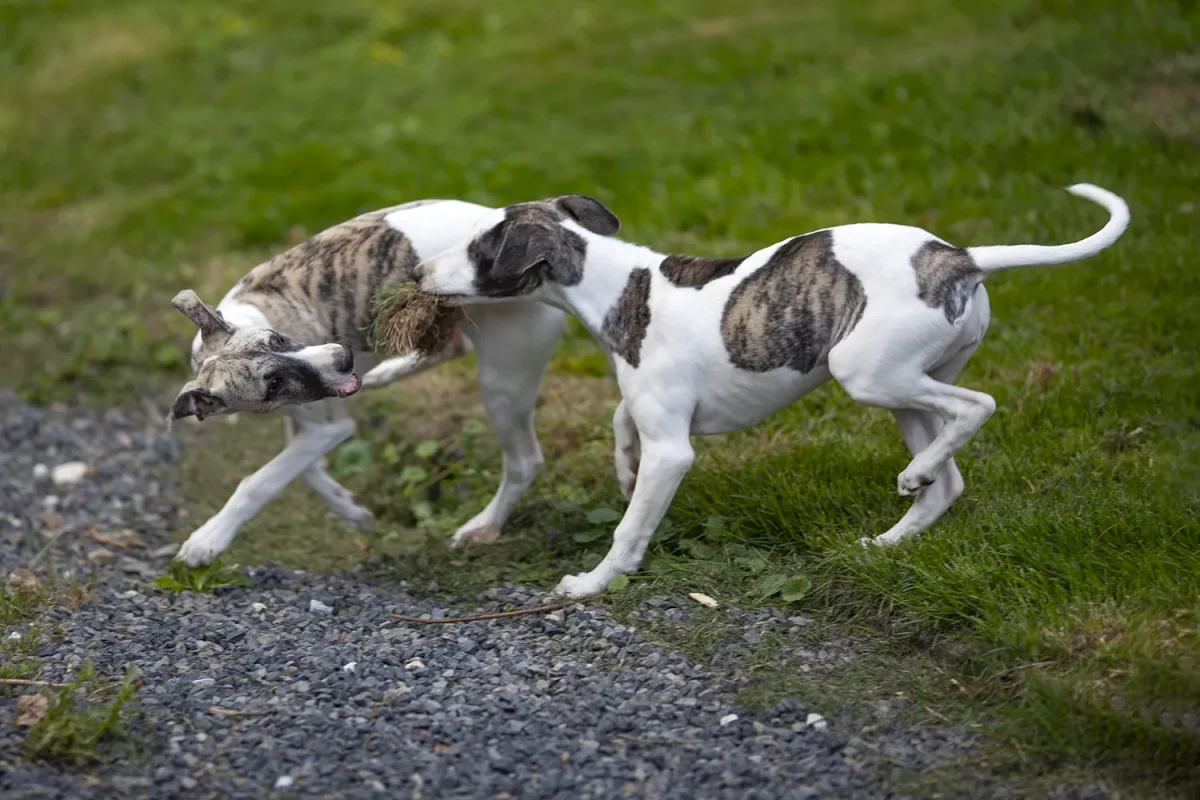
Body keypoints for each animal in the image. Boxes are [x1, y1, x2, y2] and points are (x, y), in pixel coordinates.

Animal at [167, 200, 568, 566]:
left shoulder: (329, 425)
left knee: (524, 461)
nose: (343, 358)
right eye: (274, 383)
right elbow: (305, 469)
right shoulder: (304, 415)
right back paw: (387, 372)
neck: (251, 313)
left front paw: (209, 539)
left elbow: (262, 481)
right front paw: (350, 509)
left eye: (277, 339)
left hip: (503, 381)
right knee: (453, 346)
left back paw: (484, 526)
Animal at [412, 185, 1130, 597]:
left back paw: (912, 477)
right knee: (947, 480)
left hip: (867, 372)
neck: (620, 287)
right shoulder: (655, 410)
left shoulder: (675, 450)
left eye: (478, 247)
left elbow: (629, 526)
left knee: (978, 407)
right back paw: (890, 534)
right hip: (905, 388)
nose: (417, 273)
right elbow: (620, 420)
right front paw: (623, 471)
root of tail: (962, 258)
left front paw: (594, 583)